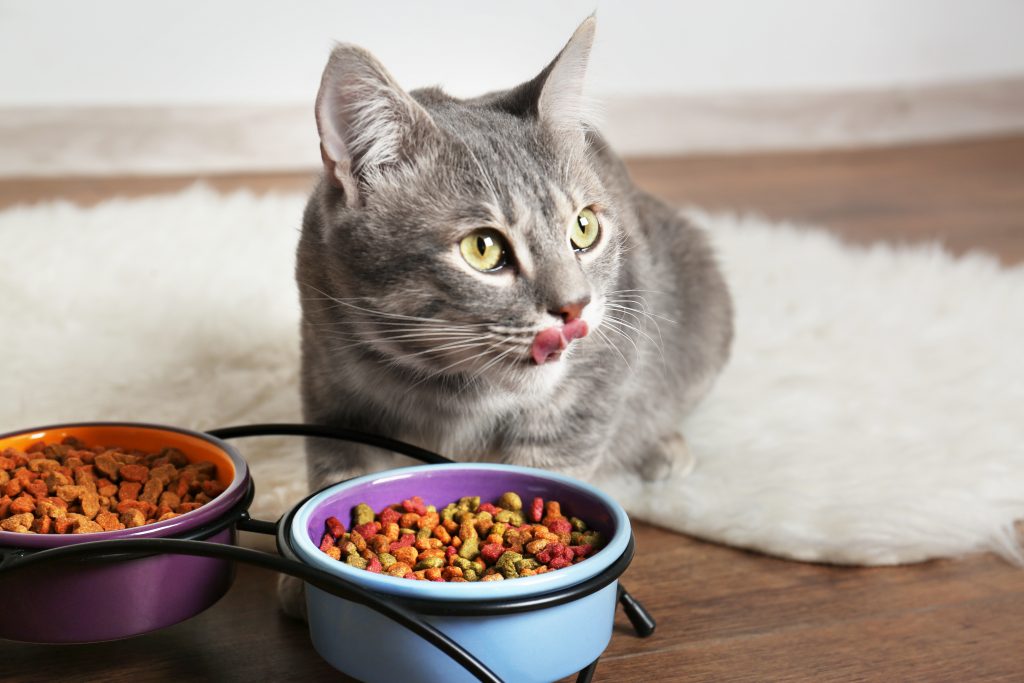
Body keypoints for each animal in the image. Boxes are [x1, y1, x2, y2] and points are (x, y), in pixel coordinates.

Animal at [284, 17, 733, 614]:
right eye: (483, 248)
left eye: (585, 228)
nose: (576, 305)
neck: (446, 385)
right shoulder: (330, 384)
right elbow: (335, 469)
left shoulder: (591, 385)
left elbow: (547, 470)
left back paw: (664, 446)